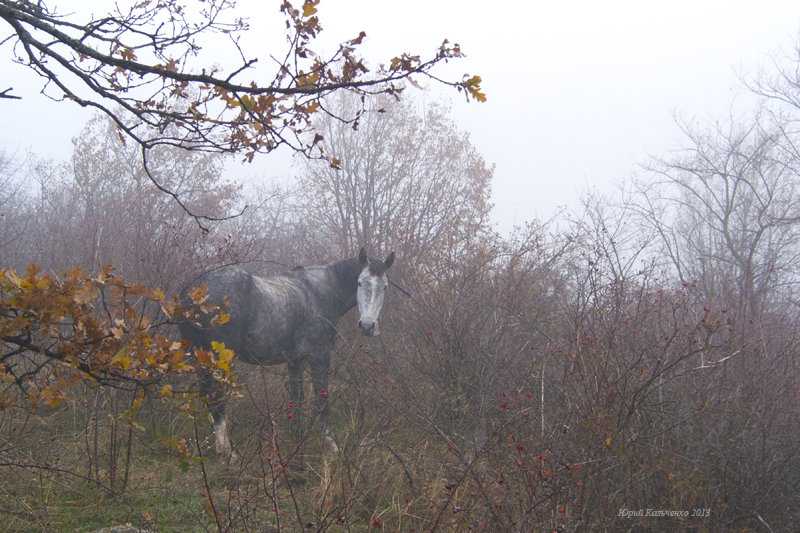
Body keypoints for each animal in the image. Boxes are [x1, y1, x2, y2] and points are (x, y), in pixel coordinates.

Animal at [180, 247, 396, 460]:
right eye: (359, 283)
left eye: (385, 287)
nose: (367, 325)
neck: (323, 290)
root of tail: (195, 289)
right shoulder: (320, 357)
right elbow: (321, 398)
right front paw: (331, 442)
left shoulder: (295, 360)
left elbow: (297, 398)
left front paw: (297, 436)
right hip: (221, 361)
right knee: (216, 399)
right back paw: (229, 453)